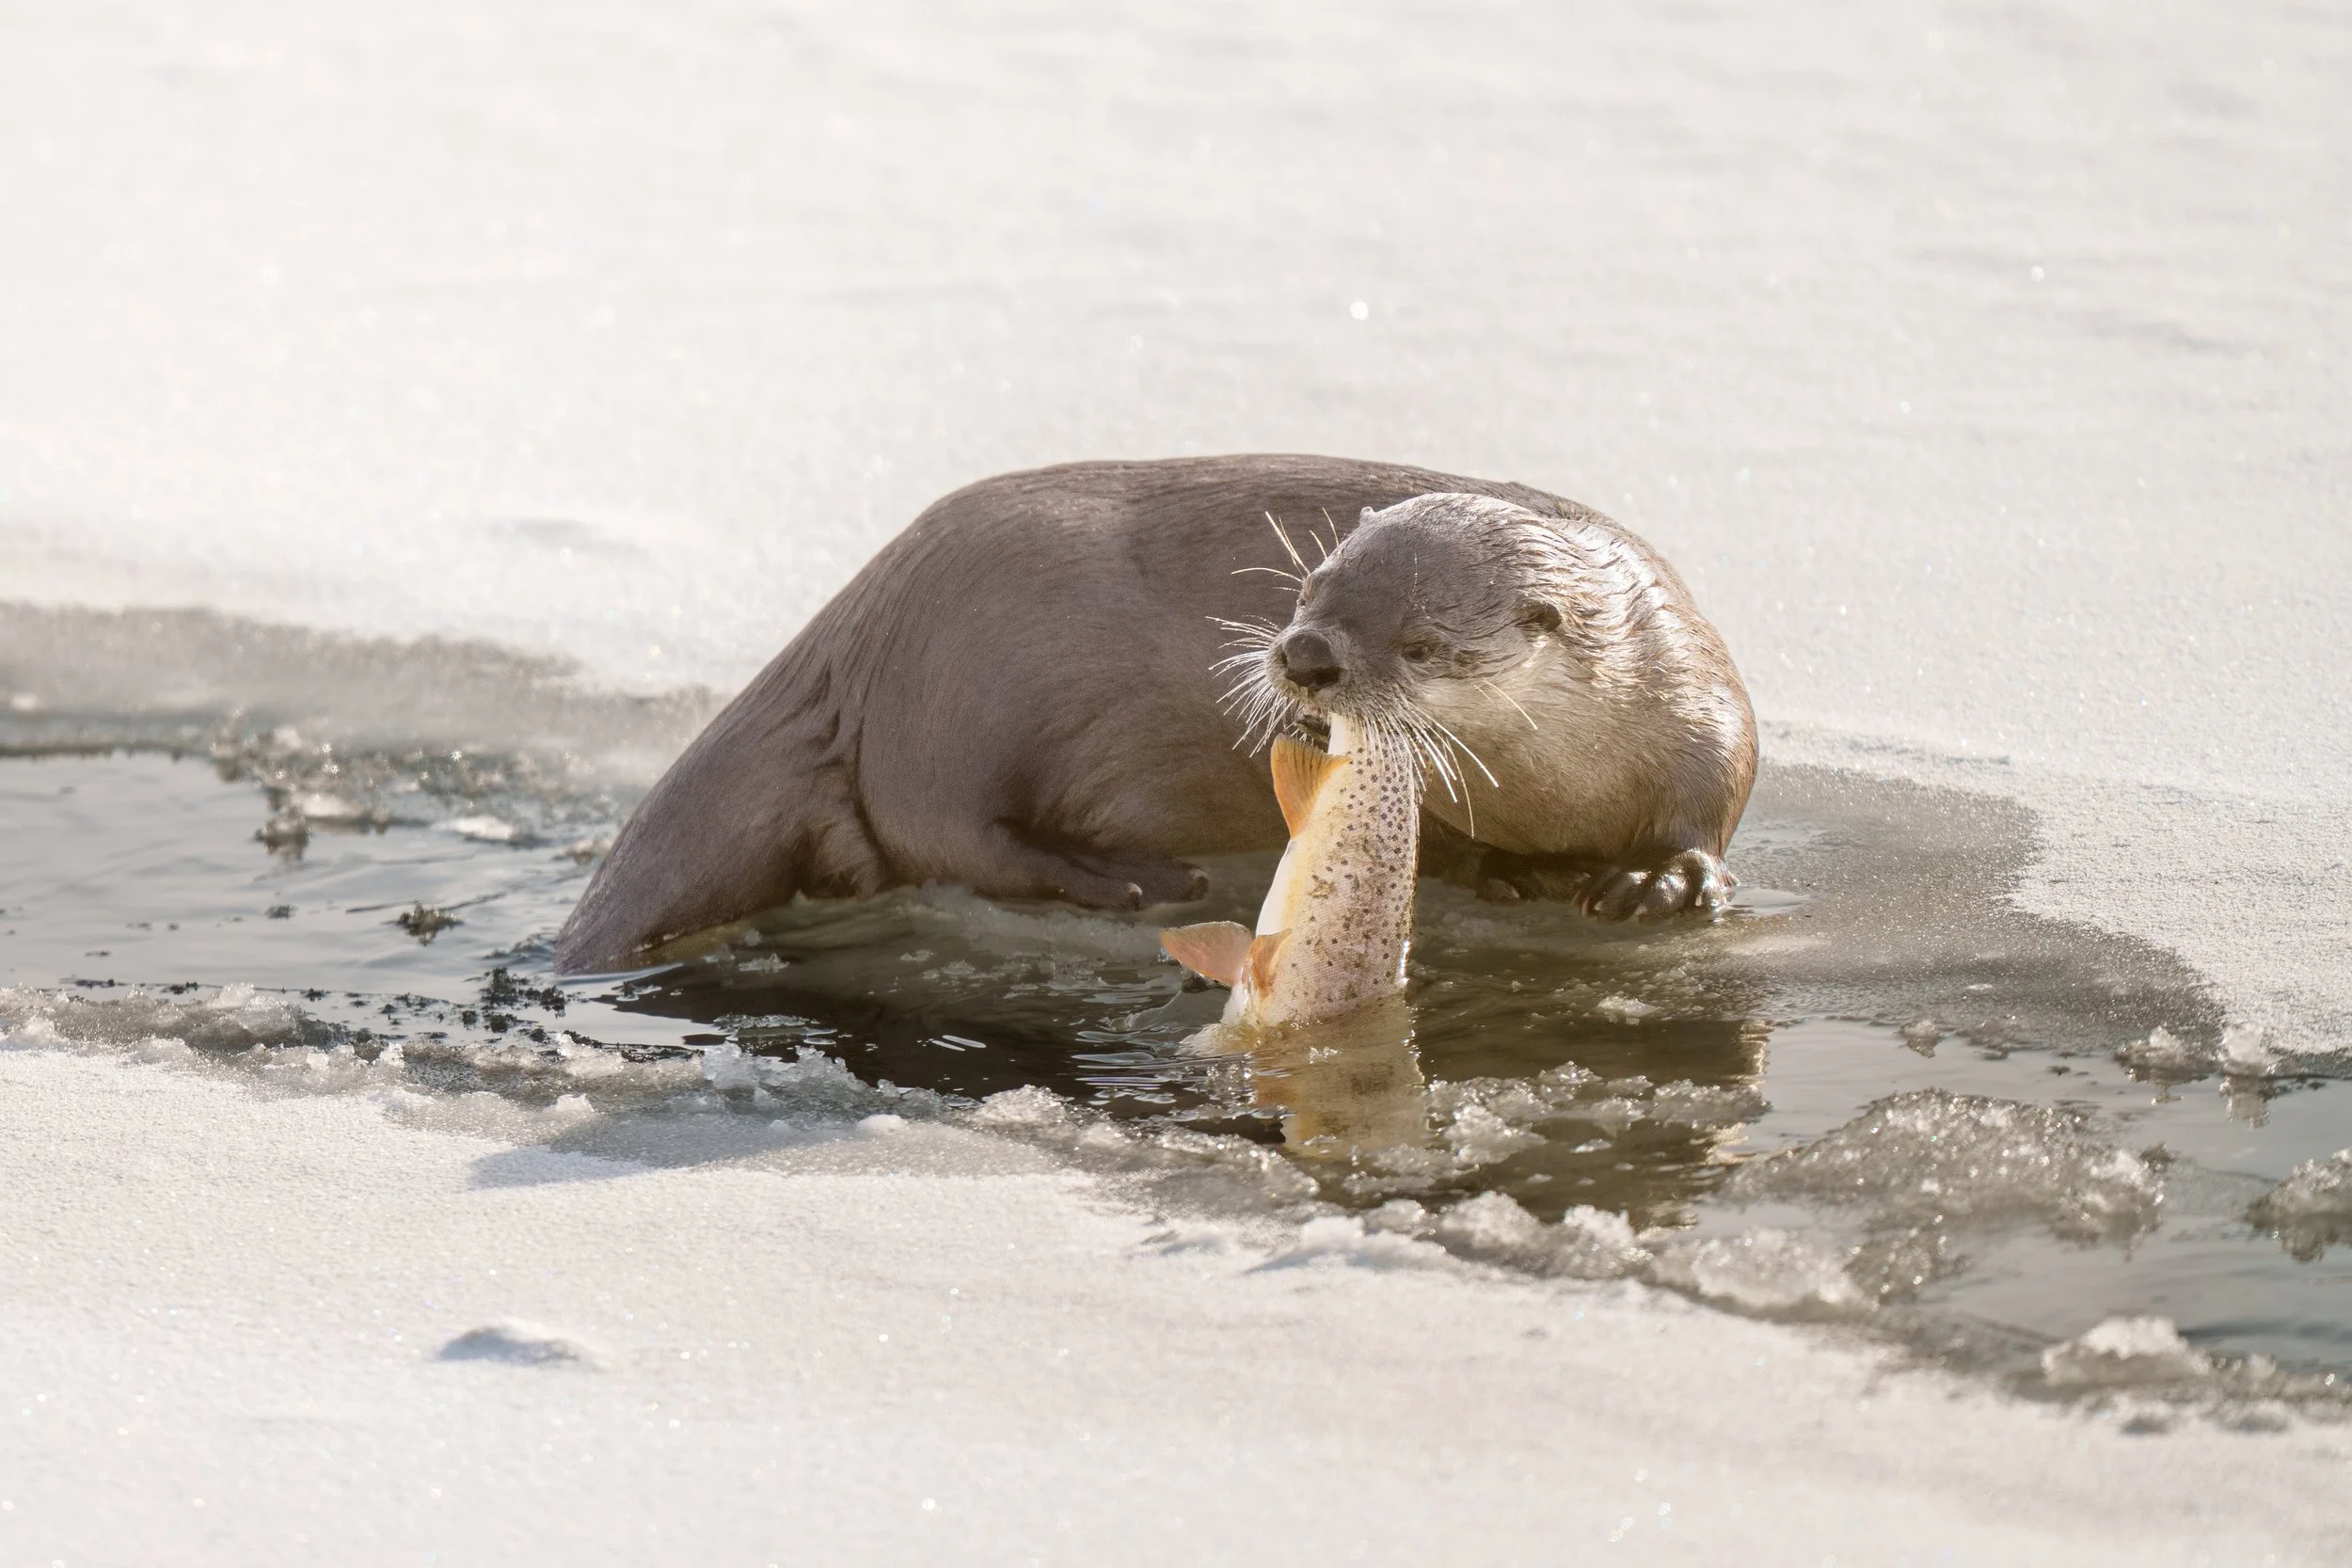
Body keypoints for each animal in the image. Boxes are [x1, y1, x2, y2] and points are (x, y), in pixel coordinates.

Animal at [554, 456, 1755, 973]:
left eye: (1418, 642)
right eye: (1311, 583)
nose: (1304, 654)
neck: (1562, 785)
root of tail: (847, 630)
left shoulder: (1702, 702)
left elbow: (1714, 805)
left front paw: (1659, 878)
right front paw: (1505, 873)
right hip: (948, 701)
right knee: (963, 840)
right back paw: (1132, 876)